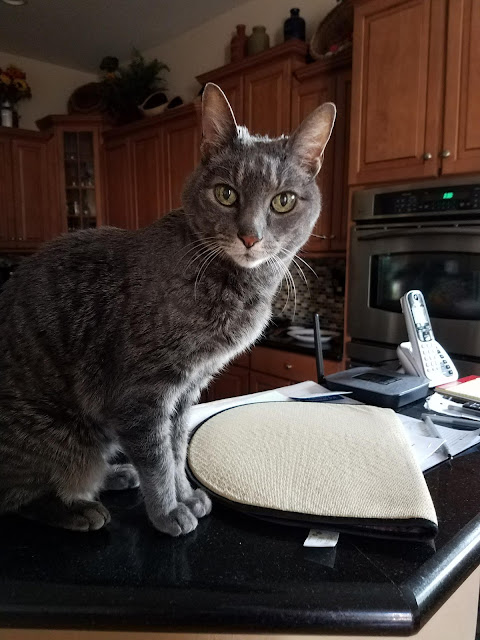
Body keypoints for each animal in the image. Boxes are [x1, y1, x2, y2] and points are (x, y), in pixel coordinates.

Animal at [0, 83, 335, 536]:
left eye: (283, 201)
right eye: (226, 193)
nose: (250, 236)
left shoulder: (187, 388)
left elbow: (176, 450)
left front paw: (186, 495)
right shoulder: (144, 392)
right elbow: (157, 458)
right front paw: (167, 512)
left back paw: (117, 474)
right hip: (54, 435)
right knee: (18, 497)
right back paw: (79, 508)